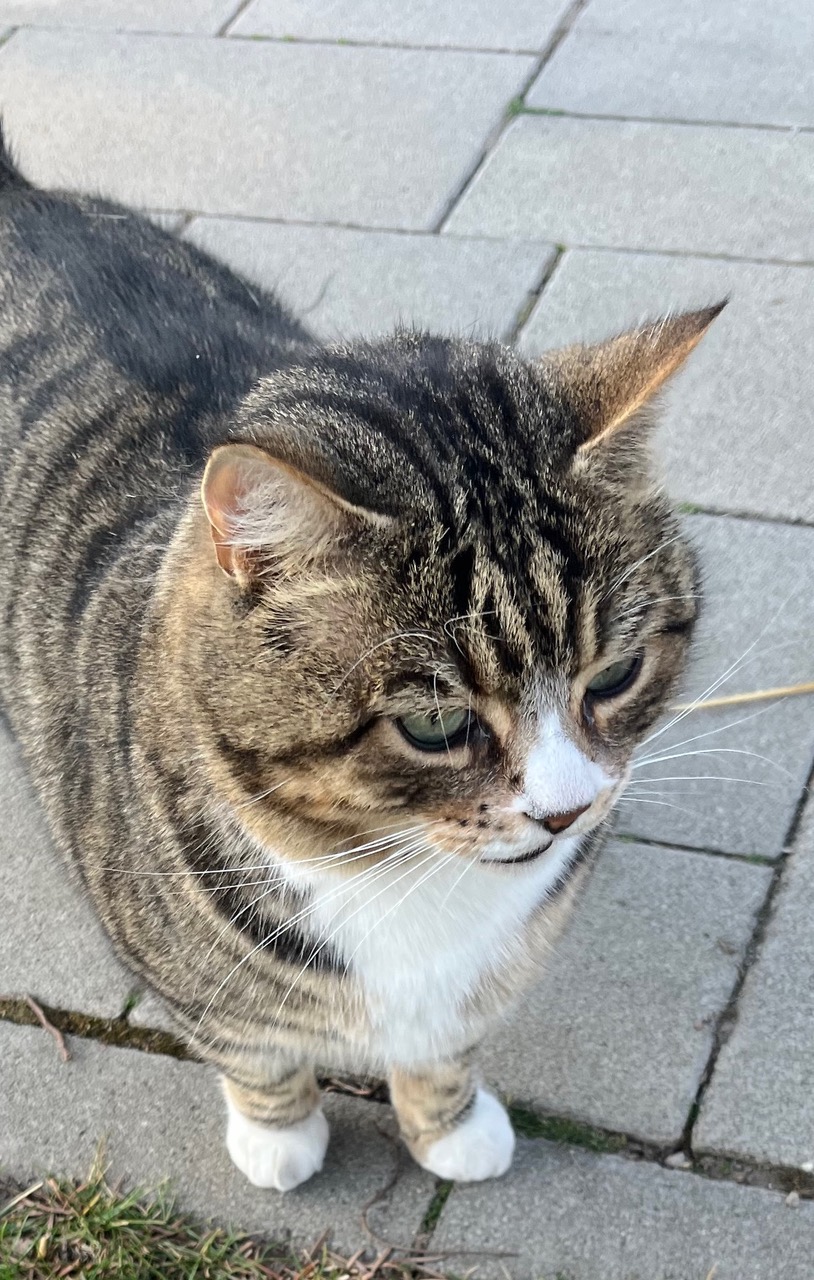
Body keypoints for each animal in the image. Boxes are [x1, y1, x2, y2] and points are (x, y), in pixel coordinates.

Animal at [0, 127, 722, 1191]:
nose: (565, 813)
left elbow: (445, 1042)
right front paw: (279, 1136)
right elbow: (253, 1045)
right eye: (435, 724)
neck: (397, 867)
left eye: (616, 677)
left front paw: (448, 1125)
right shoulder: (189, 978)